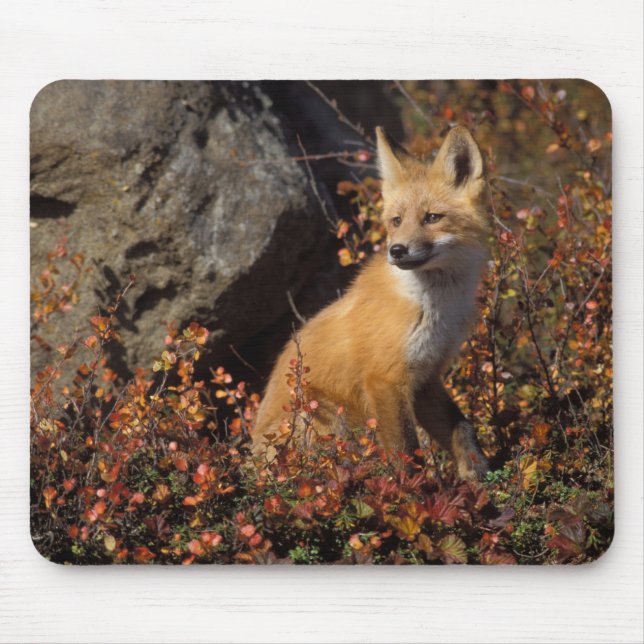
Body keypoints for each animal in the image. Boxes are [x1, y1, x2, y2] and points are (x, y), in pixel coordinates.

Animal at [251, 125, 490, 481]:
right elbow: (407, 453)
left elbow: (462, 428)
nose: (397, 251)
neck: (434, 308)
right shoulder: (385, 379)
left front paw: (479, 474)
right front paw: (418, 491)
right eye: (396, 221)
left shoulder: (426, 375)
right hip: (323, 416)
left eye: (432, 217)